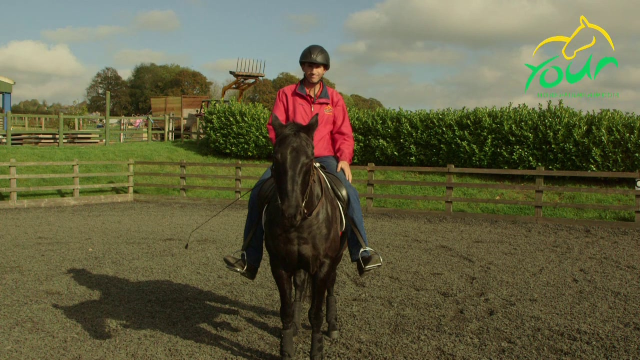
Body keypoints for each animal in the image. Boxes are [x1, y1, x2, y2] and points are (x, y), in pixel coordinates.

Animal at [262, 113, 348, 360]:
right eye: (275, 157)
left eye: (309, 159)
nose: (290, 213)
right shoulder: (279, 264)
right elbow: (286, 310)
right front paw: (287, 348)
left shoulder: (324, 264)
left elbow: (316, 314)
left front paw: (316, 350)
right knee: (300, 285)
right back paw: (297, 326)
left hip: (336, 258)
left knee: (331, 284)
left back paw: (333, 325)